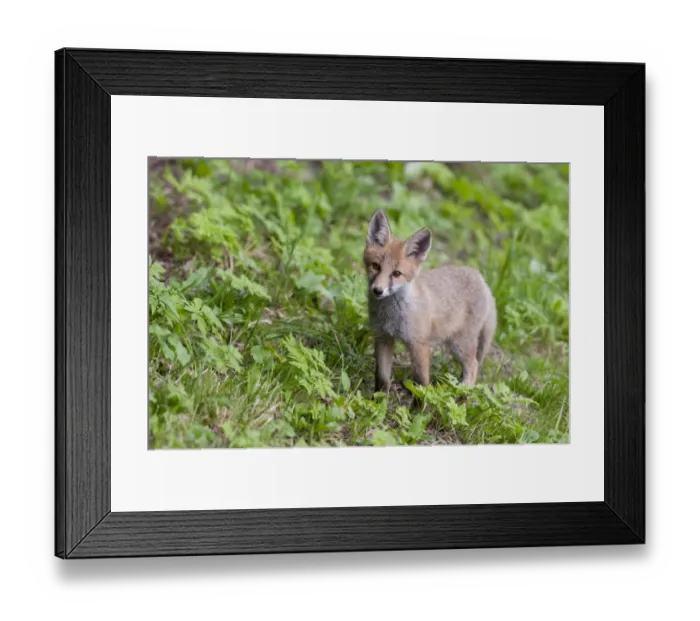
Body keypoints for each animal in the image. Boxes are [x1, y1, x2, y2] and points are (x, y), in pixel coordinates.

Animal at [363, 210, 497, 391]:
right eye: (376, 266)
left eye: (396, 274)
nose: (378, 290)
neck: (391, 315)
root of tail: (482, 279)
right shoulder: (383, 337)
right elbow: (383, 378)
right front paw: (379, 398)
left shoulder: (419, 344)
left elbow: (422, 382)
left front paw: (422, 399)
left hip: (460, 344)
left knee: (473, 366)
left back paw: (462, 391)